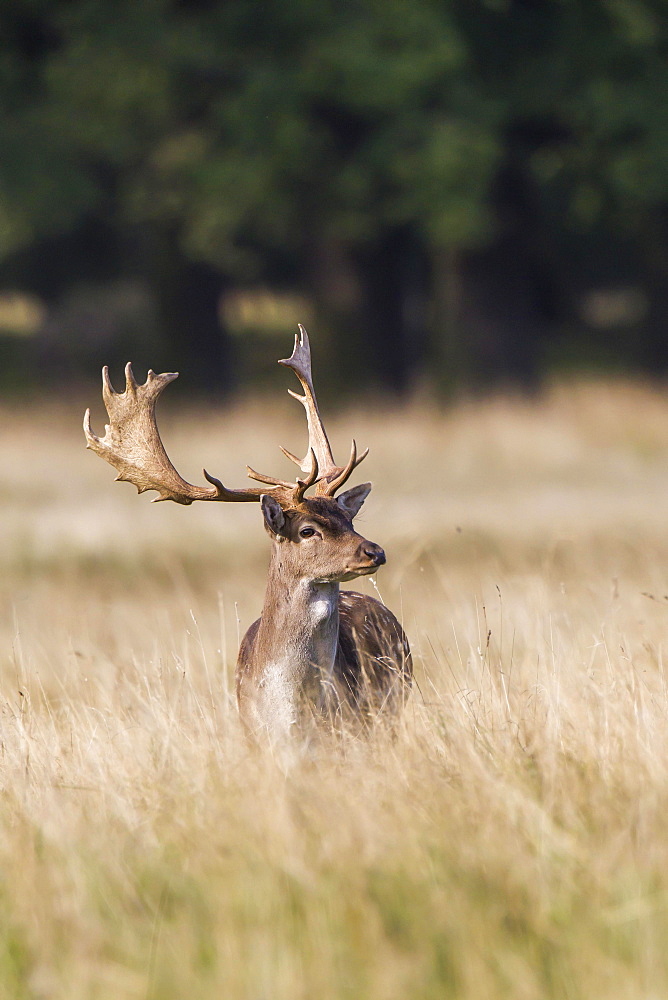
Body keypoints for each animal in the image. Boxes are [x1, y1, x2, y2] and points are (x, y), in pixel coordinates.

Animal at [84, 324, 412, 740]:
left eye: (348, 519)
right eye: (308, 531)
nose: (374, 551)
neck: (294, 711)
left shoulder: (351, 726)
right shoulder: (254, 734)